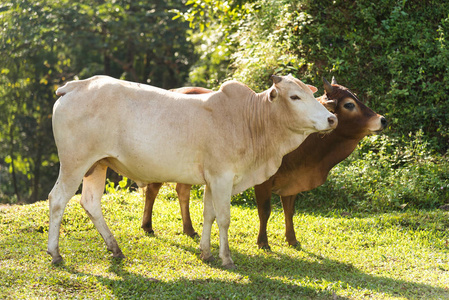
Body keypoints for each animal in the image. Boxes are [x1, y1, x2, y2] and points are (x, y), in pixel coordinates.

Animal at [48, 74, 336, 268]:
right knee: (57, 200)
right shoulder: (222, 177)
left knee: (90, 202)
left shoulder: (212, 180)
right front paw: (226, 258)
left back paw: (115, 248)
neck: (250, 120)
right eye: (295, 97)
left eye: (311, 95)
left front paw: (206, 252)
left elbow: (208, 215)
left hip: (98, 164)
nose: (331, 119)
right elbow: (223, 218)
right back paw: (56, 253)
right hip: (75, 163)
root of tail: (76, 85)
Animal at [141, 77, 384, 248]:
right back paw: (148, 226)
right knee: (153, 190)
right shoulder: (263, 180)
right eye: (349, 105)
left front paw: (292, 239)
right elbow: (265, 210)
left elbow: (289, 211)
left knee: (182, 191)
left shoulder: (292, 183)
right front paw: (263, 242)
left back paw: (189, 229)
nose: (382, 119)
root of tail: (175, 90)